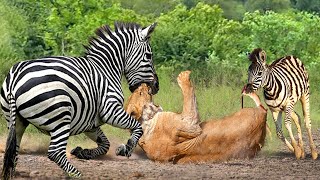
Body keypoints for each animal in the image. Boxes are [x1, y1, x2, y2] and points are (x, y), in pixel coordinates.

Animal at [0, 21, 160, 179]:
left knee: (14, 152)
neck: (106, 70)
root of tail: (15, 79)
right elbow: (137, 127)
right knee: (55, 152)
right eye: (148, 56)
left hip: (16, 122)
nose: (157, 86)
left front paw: (82, 152)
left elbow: (105, 145)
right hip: (61, 116)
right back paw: (77, 175)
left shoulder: (90, 123)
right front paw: (126, 148)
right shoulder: (111, 111)